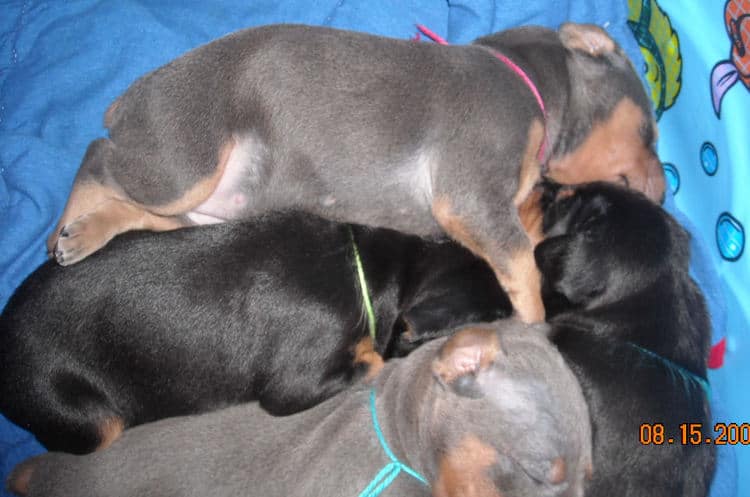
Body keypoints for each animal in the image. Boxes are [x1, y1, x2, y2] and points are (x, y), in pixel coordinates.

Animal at [0, 212, 512, 454]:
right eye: (493, 316)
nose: (522, 315)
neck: (368, 268)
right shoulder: (291, 385)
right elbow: (370, 358)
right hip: (85, 419)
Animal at [45, 22, 664, 322]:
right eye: (649, 133)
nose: (663, 192)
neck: (531, 83)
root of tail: (124, 103)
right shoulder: (470, 193)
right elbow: (522, 266)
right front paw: (536, 329)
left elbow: (522, 247)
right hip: (186, 163)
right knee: (97, 157)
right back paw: (67, 227)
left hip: (202, 208)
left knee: (132, 206)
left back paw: (84, 232)